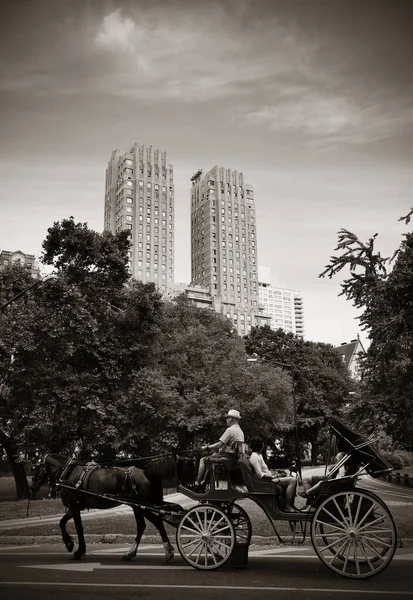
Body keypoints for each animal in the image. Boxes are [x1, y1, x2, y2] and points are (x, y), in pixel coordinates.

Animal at [31, 454, 174, 564]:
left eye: (35, 468)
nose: (33, 486)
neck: (68, 474)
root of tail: (145, 472)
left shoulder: (74, 506)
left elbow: (78, 529)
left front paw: (78, 551)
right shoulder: (74, 507)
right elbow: (62, 522)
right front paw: (70, 544)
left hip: (141, 506)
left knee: (155, 523)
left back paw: (167, 552)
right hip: (137, 506)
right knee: (143, 526)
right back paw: (131, 554)